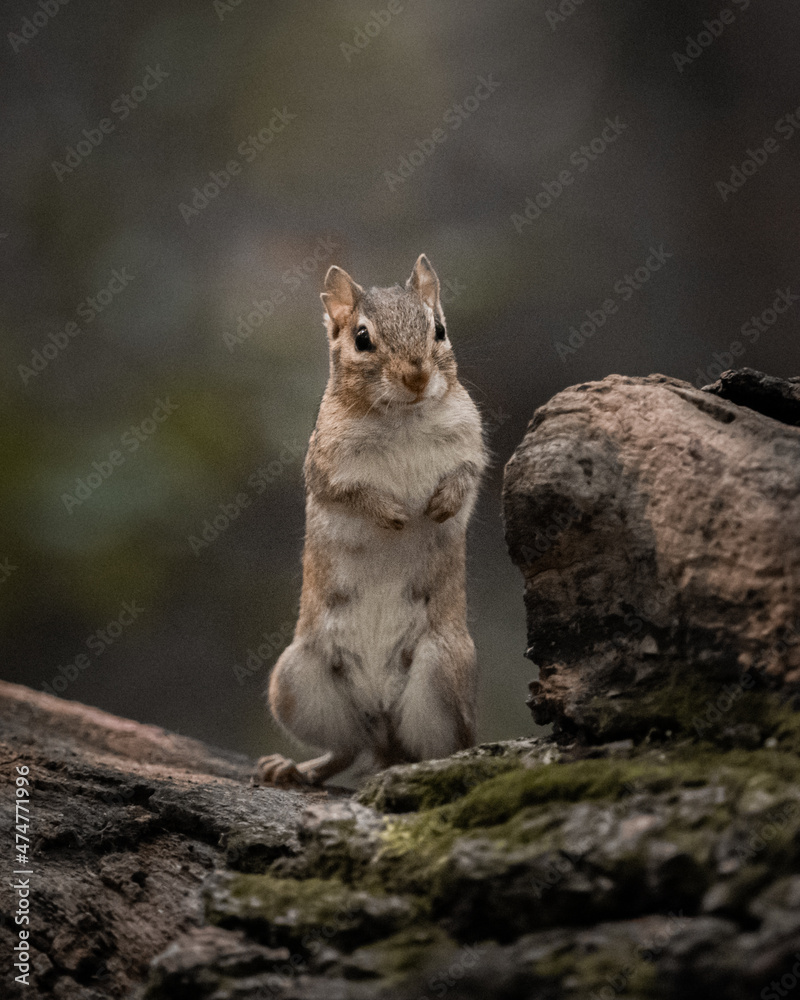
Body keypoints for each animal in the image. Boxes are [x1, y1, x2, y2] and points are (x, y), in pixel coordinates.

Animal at [255, 255, 486, 786]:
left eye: (439, 329)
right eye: (362, 338)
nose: (417, 377)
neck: (402, 417)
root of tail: (382, 721)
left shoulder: (473, 448)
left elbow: (466, 477)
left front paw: (442, 504)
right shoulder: (325, 470)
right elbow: (353, 495)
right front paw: (391, 512)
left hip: (443, 676)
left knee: (435, 749)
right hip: (296, 683)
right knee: (347, 749)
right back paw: (294, 767)